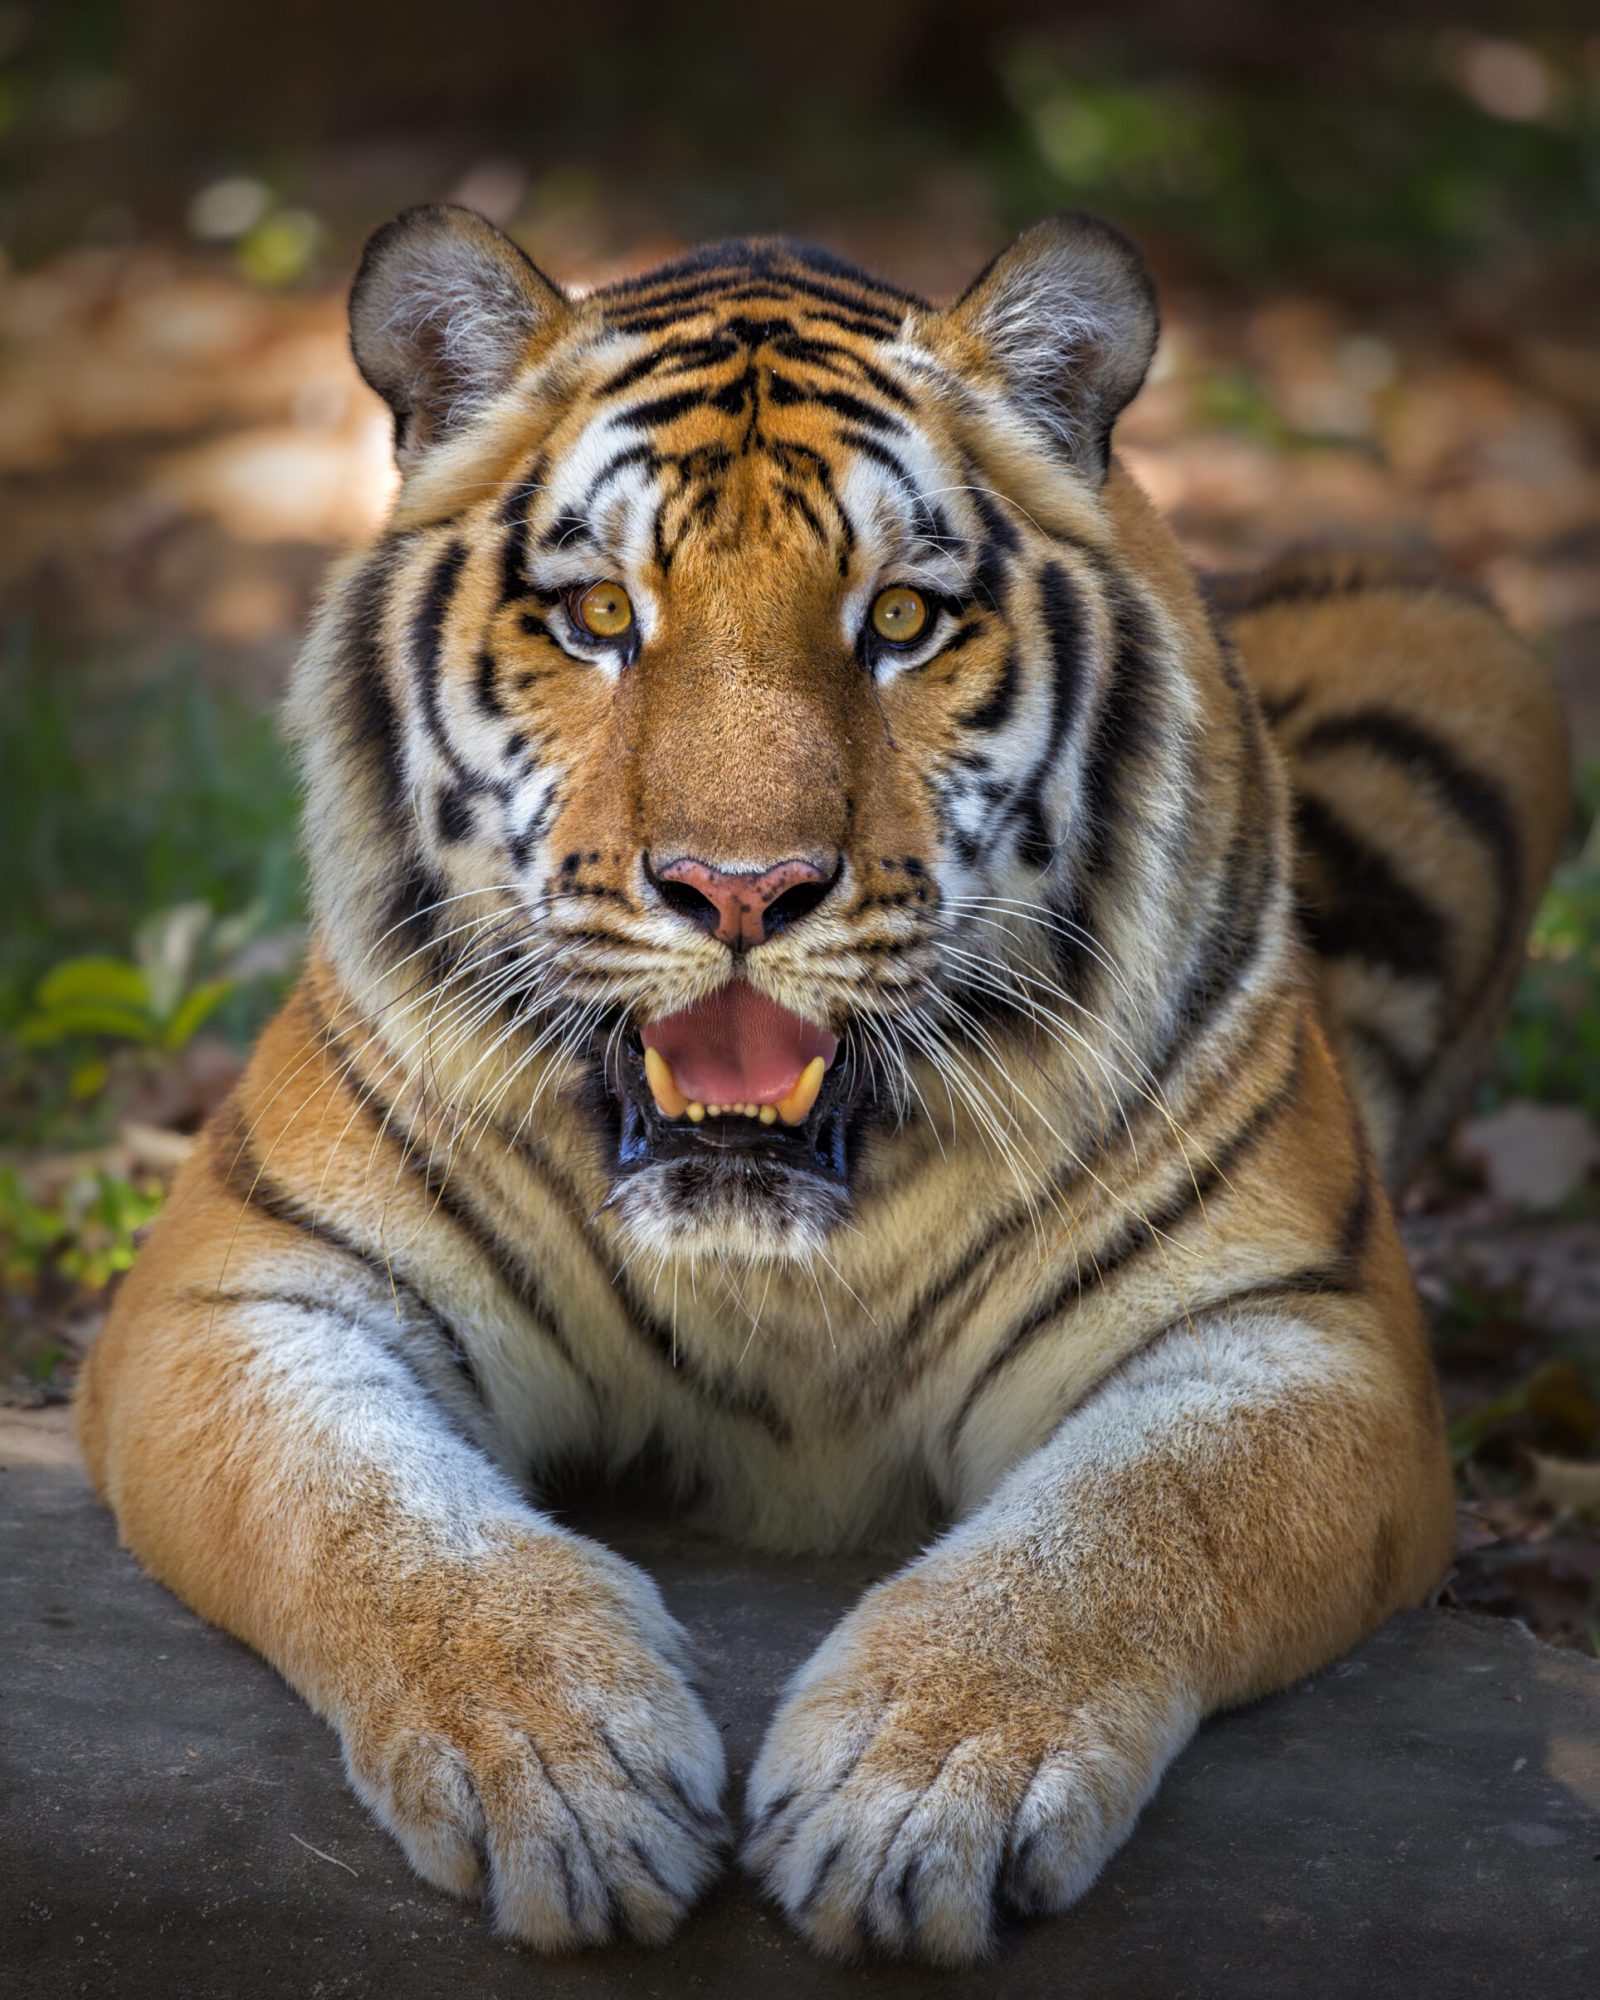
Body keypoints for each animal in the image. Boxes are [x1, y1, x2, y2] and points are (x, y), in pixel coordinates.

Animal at [75, 204, 1568, 1965]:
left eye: (902, 622)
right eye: (598, 616)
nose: (742, 890)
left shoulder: (1298, 1335)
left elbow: (1125, 1535)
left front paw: (915, 1794)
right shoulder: (245, 1295)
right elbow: (376, 1524)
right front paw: (565, 1771)